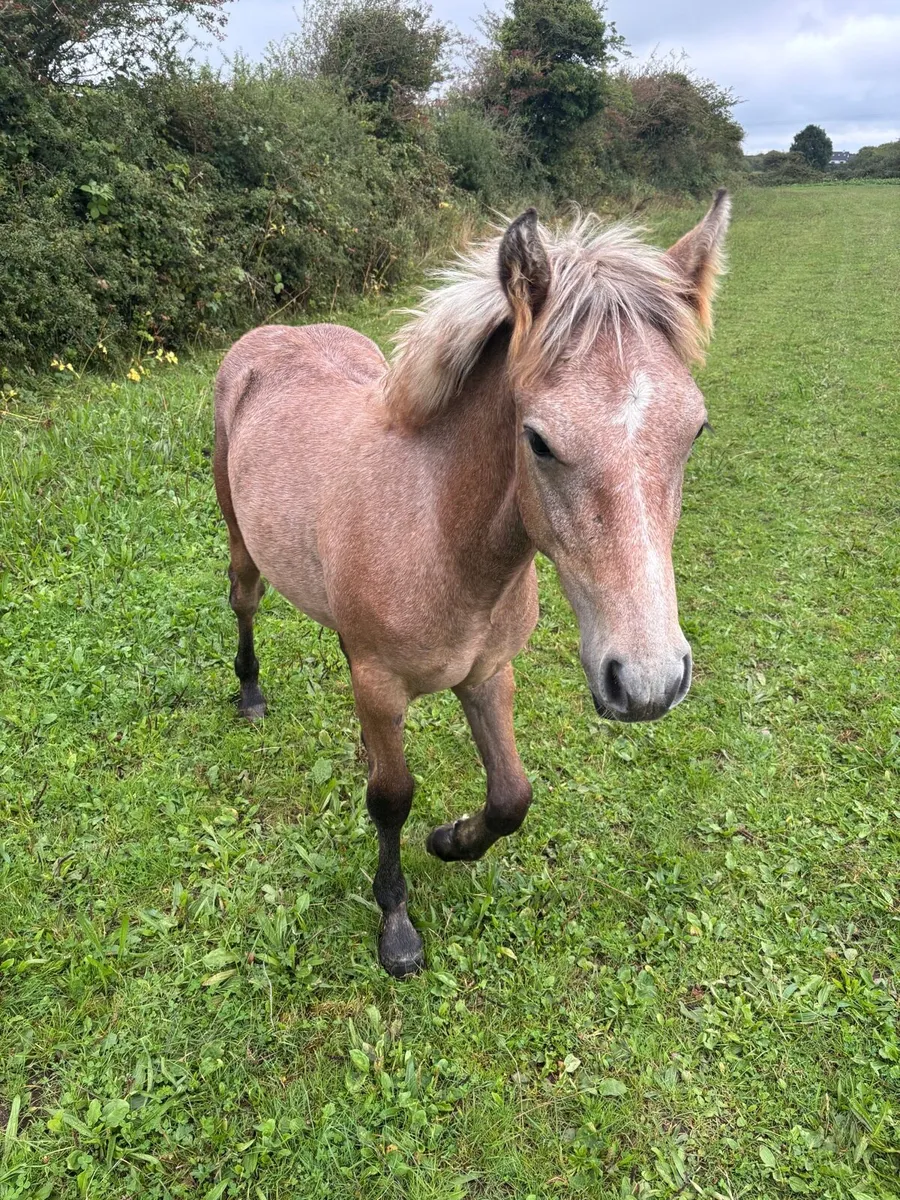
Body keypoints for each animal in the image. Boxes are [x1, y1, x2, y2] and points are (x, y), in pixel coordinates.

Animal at [213, 191, 731, 977]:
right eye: (539, 440)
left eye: (695, 430)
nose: (648, 682)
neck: (439, 537)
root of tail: (270, 334)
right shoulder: (381, 682)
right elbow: (391, 799)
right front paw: (396, 923)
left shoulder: (488, 673)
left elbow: (512, 795)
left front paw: (451, 840)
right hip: (242, 543)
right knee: (244, 602)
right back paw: (249, 694)